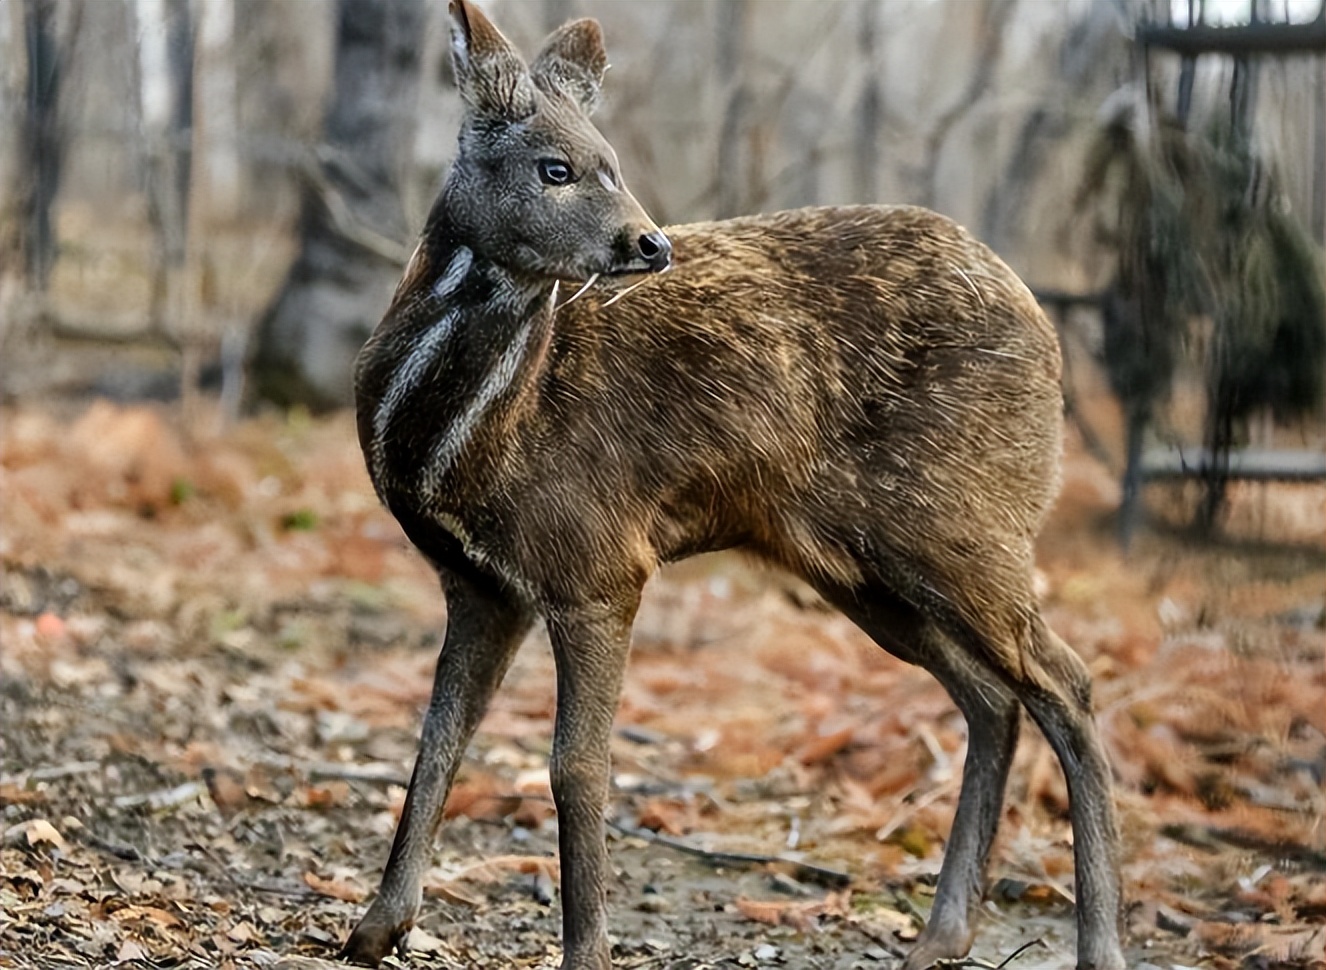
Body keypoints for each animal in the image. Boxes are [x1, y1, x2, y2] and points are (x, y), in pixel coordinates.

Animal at [347, 3, 1124, 964]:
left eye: (611, 160)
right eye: (555, 167)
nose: (649, 242)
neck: (467, 440)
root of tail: (1048, 334)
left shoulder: (598, 563)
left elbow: (576, 766)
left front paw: (587, 950)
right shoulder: (481, 584)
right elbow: (437, 741)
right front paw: (375, 928)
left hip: (965, 524)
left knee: (1069, 684)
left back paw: (1098, 944)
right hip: (862, 566)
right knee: (993, 700)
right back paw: (941, 936)